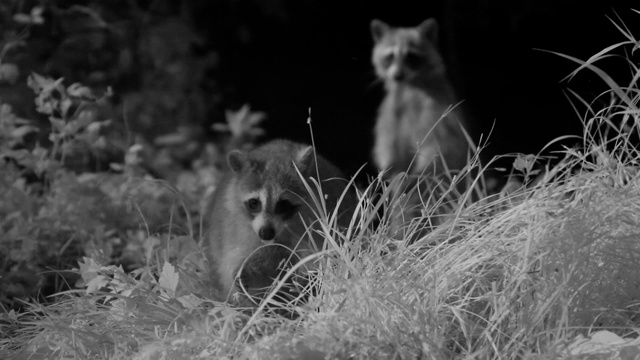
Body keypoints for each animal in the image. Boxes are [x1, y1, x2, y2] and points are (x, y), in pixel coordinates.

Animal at [204, 139, 358, 306]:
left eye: (283, 204)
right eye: (254, 203)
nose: (266, 233)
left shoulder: (317, 222)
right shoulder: (234, 229)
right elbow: (233, 264)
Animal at [370, 19, 470, 233]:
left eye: (411, 56)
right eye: (390, 56)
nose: (398, 75)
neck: (410, 84)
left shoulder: (438, 109)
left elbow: (441, 146)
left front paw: (419, 169)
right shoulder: (390, 112)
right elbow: (388, 148)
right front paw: (387, 168)